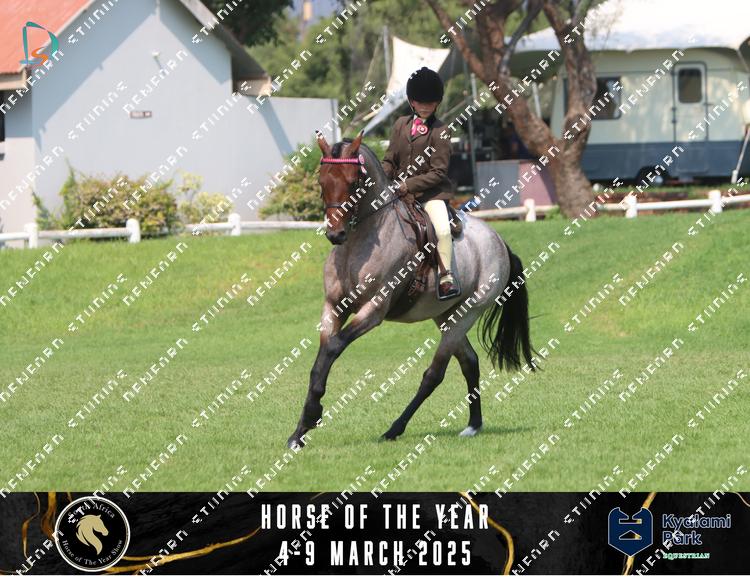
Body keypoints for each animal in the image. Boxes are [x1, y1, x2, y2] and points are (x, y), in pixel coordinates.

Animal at [287, 130, 536, 449]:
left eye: (354, 181)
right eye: (322, 181)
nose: (335, 234)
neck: (358, 244)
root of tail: (499, 241)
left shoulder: (374, 310)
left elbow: (333, 347)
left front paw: (313, 416)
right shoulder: (333, 306)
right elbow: (320, 361)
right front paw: (301, 429)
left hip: (468, 313)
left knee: (434, 374)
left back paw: (395, 428)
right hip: (446, 315)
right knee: (469, 362)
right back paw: (473, 425)